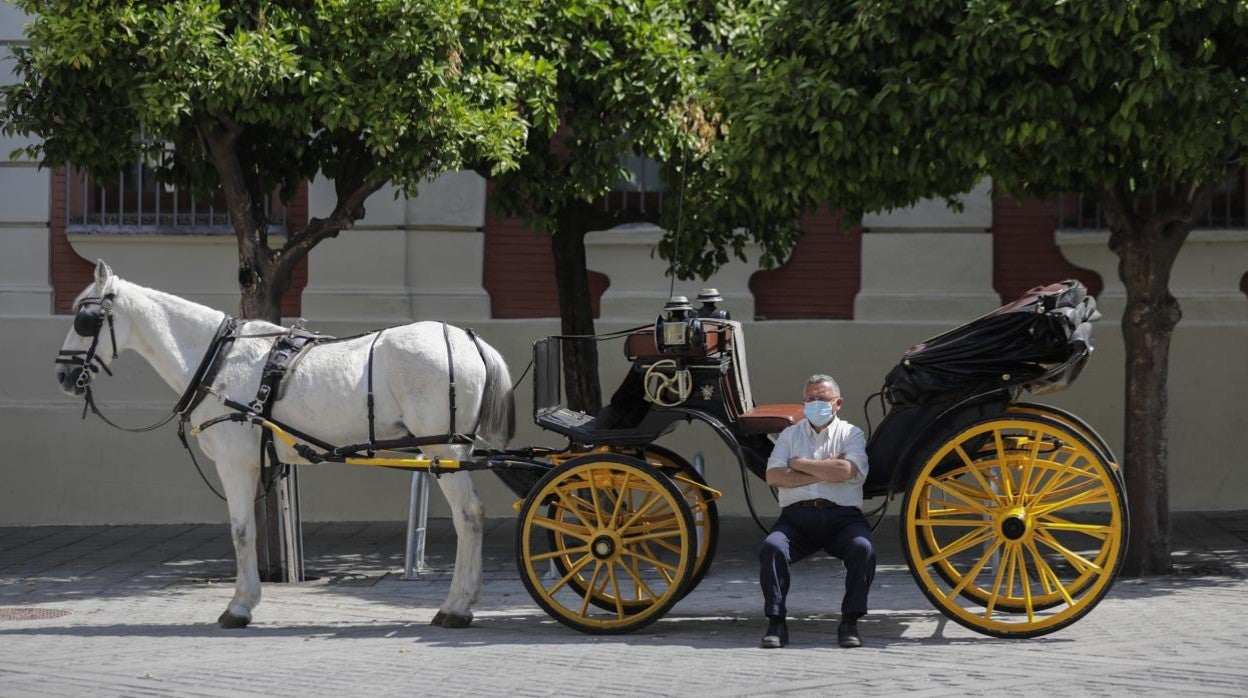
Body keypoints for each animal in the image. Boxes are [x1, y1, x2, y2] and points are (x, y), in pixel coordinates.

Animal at [56, 260, 514, 629]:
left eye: (85, 318)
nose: (63, 374)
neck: (217, 361)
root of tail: (468, 339)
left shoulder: (235, 463)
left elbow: (242, 531)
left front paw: (239, 607)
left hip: (444, 451)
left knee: (468, 516)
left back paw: (456, 606)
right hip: (454, 451)